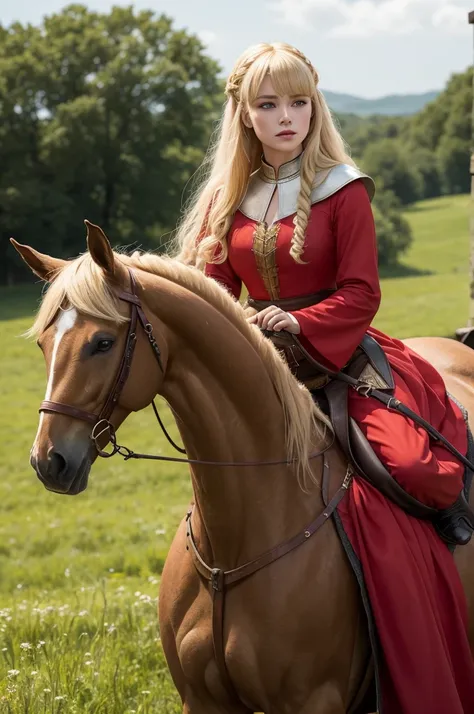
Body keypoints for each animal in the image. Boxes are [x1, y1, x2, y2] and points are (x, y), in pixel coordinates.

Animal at [9, 220, 474, 708]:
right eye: (43, 343)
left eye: (102, 343)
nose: (49, 460)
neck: (235, 543)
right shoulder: (201, 700)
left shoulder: (314, 701)